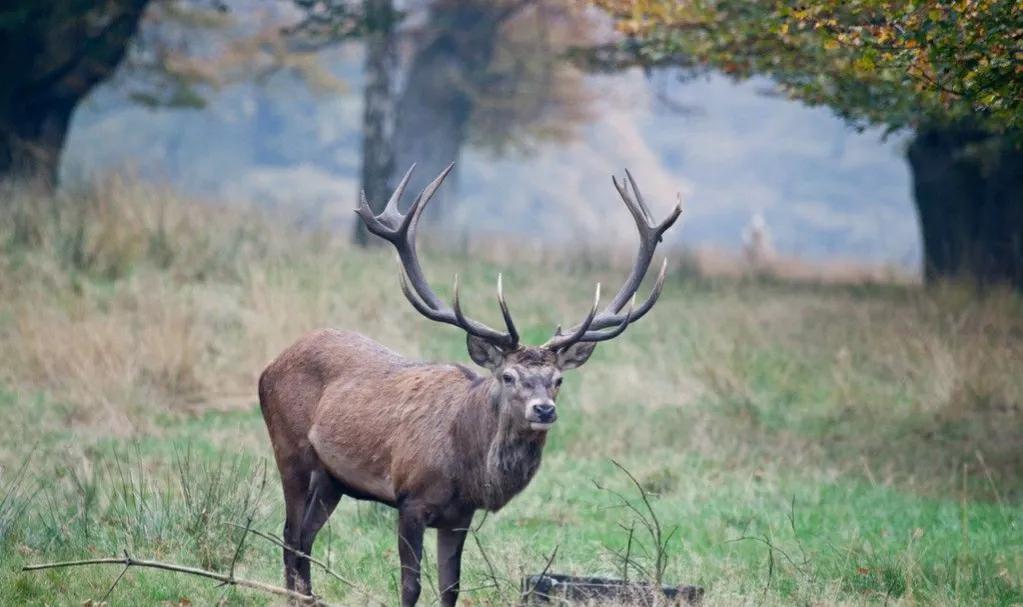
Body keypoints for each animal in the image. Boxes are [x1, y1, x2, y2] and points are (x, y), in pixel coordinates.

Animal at [259, 161, 683, 605]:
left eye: (558, 380)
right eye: (509, 375)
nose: (543, 409)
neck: (465, 465)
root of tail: (271, 364)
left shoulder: (459, 516)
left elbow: (451, 587)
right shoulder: (409, 500)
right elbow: (410, 585)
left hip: (332, 479)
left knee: (304, 541)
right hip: (290, 450)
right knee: (290, 536)